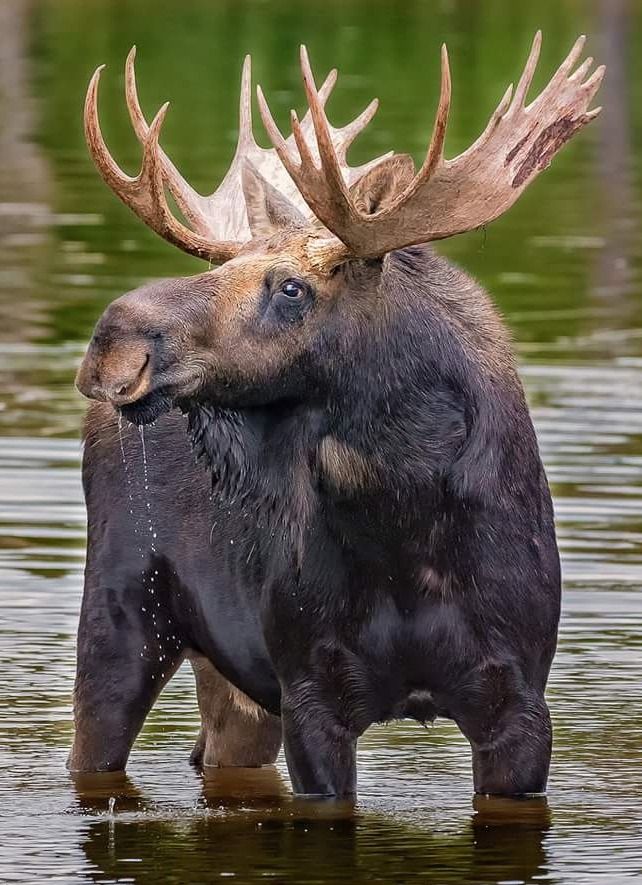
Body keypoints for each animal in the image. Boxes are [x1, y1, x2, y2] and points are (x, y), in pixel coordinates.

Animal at [70, 31, 600, 796]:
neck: (403, 527)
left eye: (292, 287)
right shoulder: (310, 693)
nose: (113, 341)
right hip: (119, 615)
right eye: (218, 270)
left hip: (228, 680)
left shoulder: (521, 702)